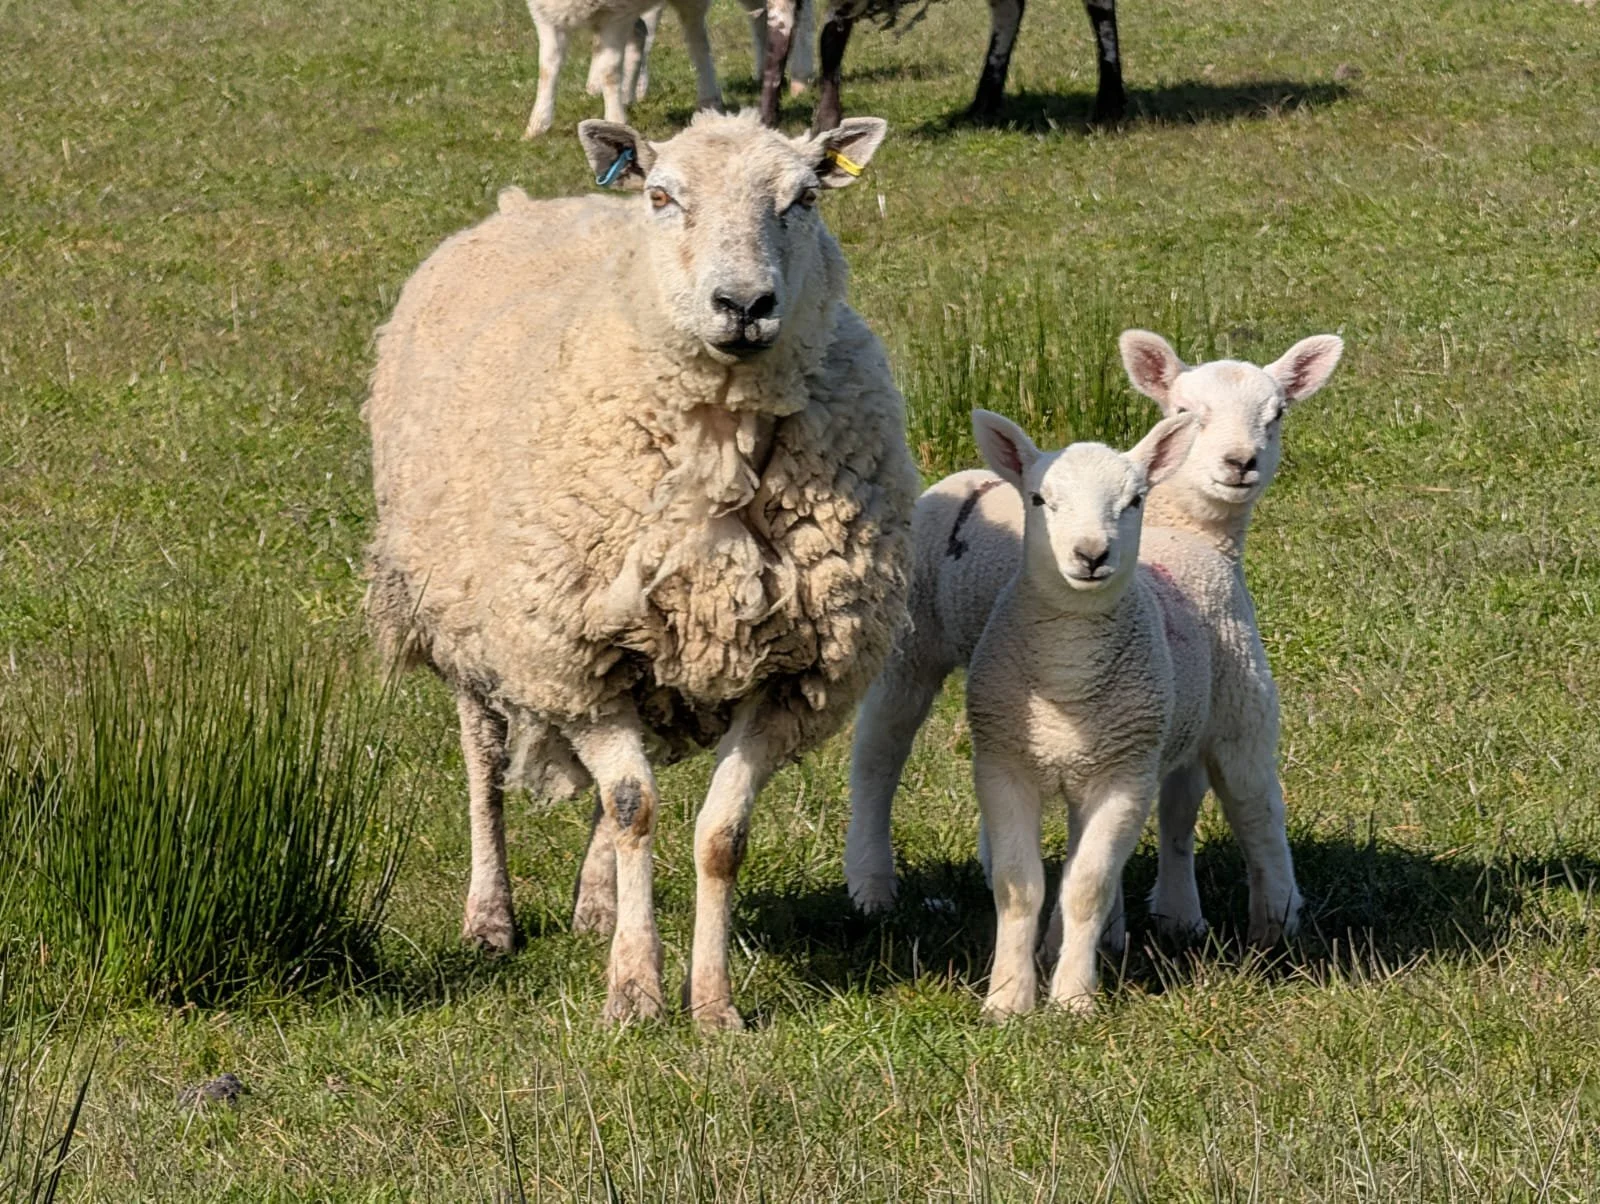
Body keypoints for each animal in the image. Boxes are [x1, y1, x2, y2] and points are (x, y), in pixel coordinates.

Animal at [364, 110, 917, 1030]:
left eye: (804, 198)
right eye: (662, 196)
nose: (744, 306)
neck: (719, 439)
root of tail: (525, 203)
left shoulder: (789, 679)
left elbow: (718, 836)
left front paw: (713, 1004)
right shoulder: (572, 658)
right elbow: (633, 807)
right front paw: (633, 992)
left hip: (643, 654)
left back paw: (596, 903)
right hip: (464, 617)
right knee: (485, 764)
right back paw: (491, 916)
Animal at [754, 0, 1125, 130]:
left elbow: (831, 35)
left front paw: (827, 121)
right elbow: (779, 35)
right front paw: (766, 119)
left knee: (1100, 9)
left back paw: (1109, 102)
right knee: (1008, 9)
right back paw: (983, 102)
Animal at [845, 331, 1343, 950]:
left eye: (1276, 416)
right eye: (1184, 410)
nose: (1240, 463)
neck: (1184, 528)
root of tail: (963, 475)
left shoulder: (1182, 693)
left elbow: (1179, 805)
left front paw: (1177, 912)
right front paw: (1114, 928)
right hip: (912, 645)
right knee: (878, 753)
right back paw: (871, 885)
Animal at [964, 409, 1203, 1016]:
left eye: (1136, 499)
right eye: (1039, 499)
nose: (1091, 554)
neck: (1067, 676)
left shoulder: (1125, 775)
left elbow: (1087, 886)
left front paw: (1074, 998)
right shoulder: (1003, 766)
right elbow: (1019, 887)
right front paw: (1009, 999)